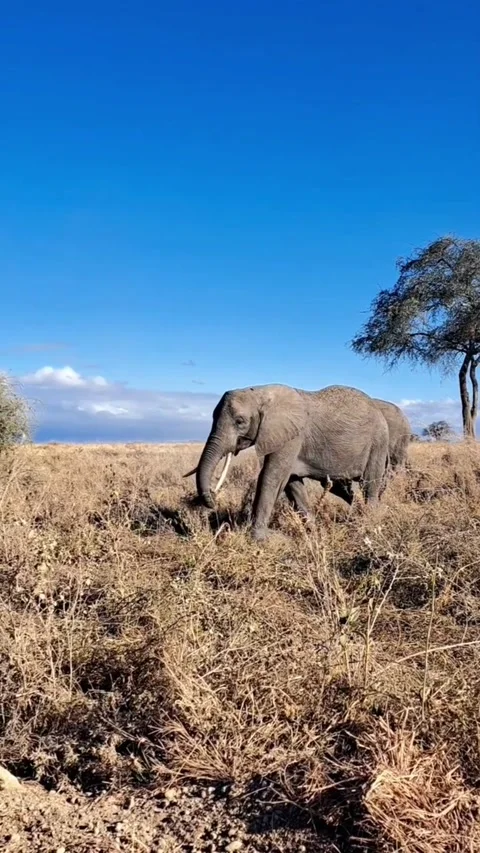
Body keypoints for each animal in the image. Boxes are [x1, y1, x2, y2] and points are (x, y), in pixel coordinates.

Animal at [189, 384, 389, 541]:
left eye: (240, 421)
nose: (212, 500)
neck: (261, 393)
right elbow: (292, 484)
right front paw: (313, 534)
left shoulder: (291, 437)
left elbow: (272, 477)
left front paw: (258, 540)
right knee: (341, 488)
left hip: (378, 443)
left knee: (369, 485)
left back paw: (370, 521)